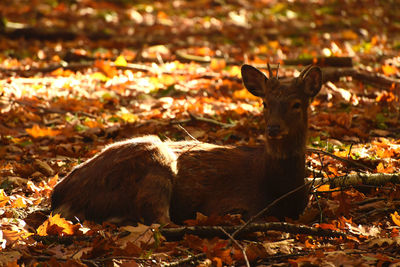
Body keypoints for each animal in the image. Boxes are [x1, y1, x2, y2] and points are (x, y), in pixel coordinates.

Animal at [51, 63, 324, 225]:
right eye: (265, 103)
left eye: (297, 104)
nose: (274, 128)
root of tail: (58, 194)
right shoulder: (232, 204)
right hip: (155, 159)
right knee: (160, 220)